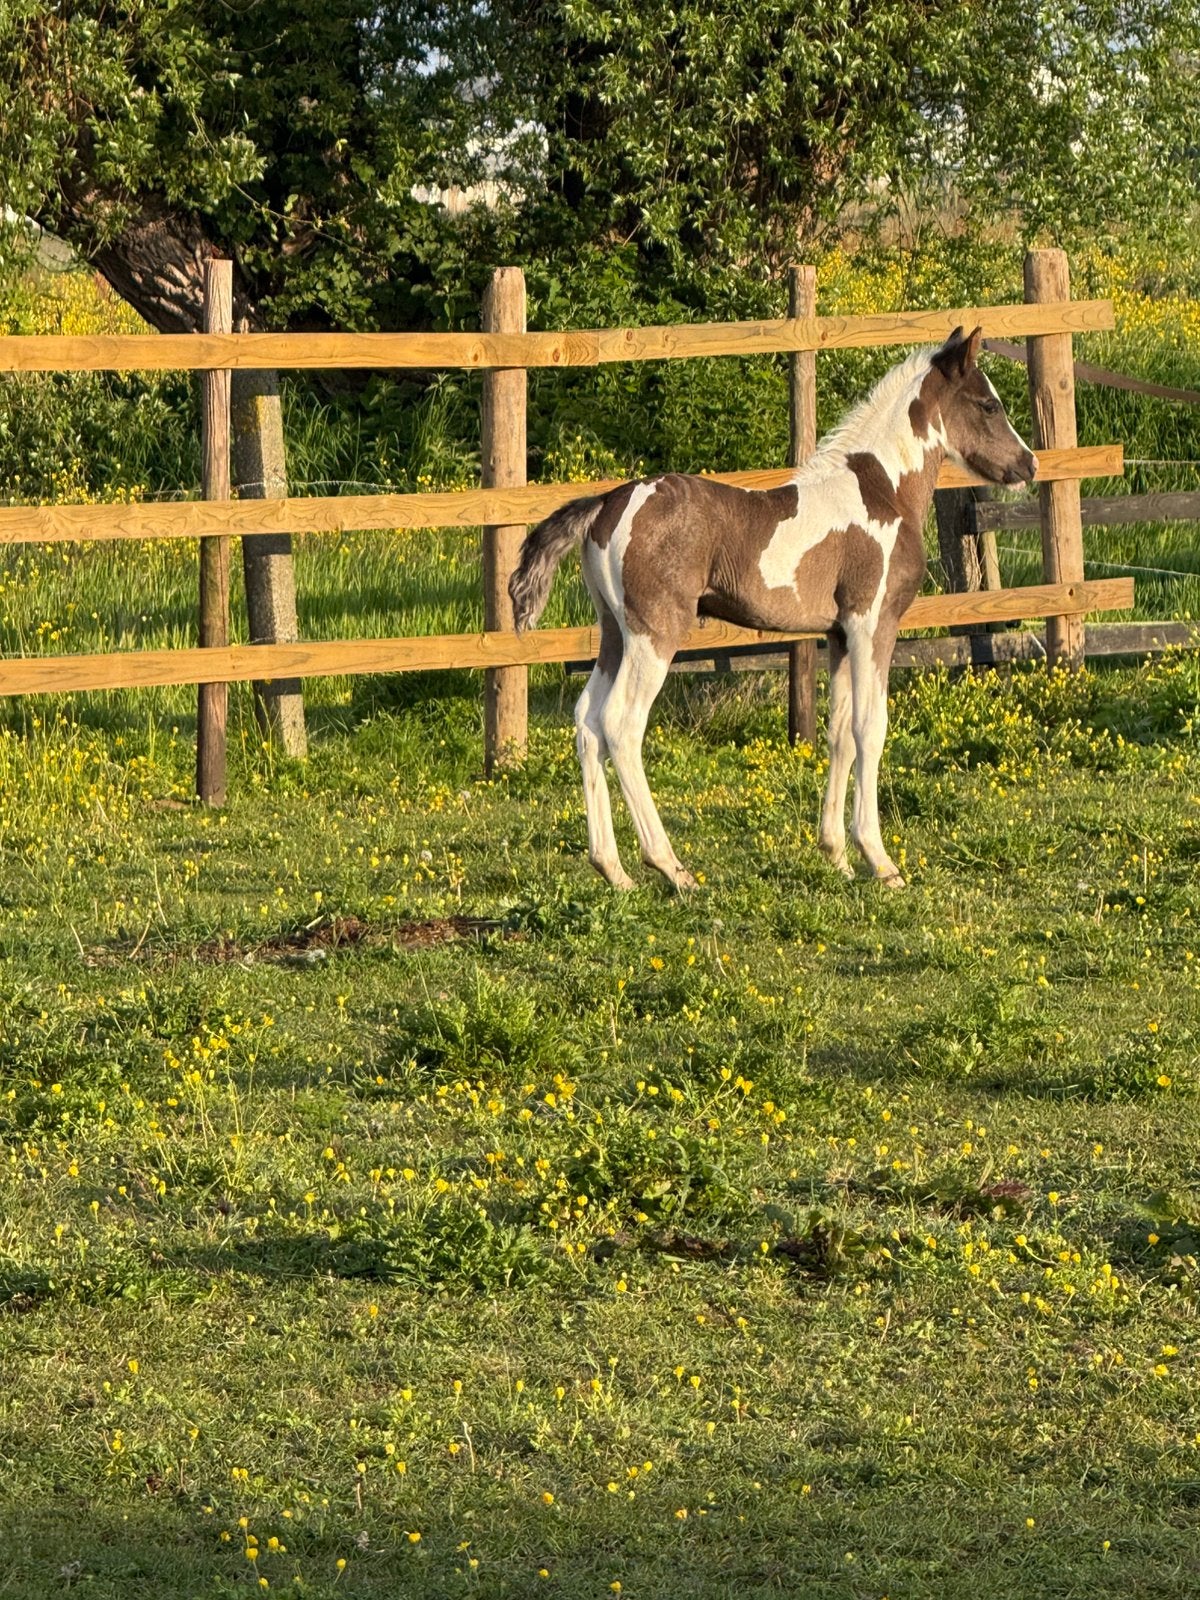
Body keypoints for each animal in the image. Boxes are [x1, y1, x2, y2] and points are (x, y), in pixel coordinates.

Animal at [509, 325, 1037, 892]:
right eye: (989, 404)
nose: (1028, 464)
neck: (882, 491)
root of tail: (606, 503)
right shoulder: (872, 622)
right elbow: (870, 729)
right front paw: (880, 860)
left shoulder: (838, 634)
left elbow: (839, 734)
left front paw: (836, 855)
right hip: (655, 633)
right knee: (621, 725)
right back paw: (671, 867)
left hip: (613, 632)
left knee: (587, 721)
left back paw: (615, 871)